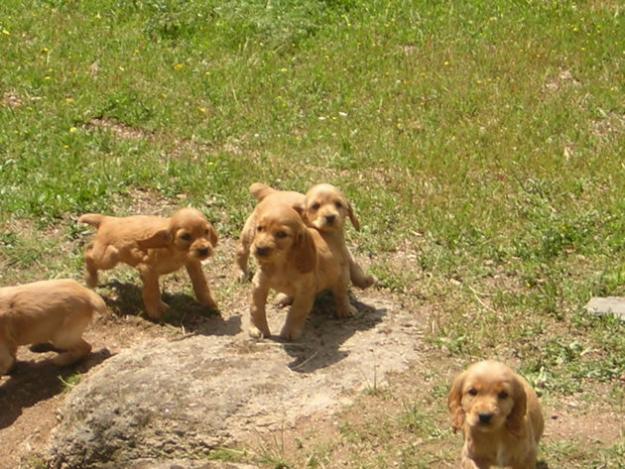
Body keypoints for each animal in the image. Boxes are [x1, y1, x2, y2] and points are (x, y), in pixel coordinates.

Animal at [80, 207, 219, 320]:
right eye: (185, 236)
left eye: (206, 231)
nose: (204, 250)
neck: (174, 251)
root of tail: (106, 219)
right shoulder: (147, 269)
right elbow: (152, 290)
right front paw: (156, 311)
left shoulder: (192, 262)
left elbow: (200, 282)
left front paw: (208, 301)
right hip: (109, 258)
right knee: (88, 254)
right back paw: (91, 279)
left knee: (89, 247)